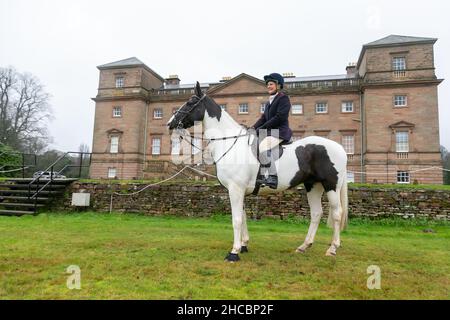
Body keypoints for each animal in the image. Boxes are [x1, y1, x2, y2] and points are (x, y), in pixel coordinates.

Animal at [169, 82, 348, 262]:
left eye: (191, 102)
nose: (170, 123)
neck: (230, 143)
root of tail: (339, 147)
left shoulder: (235, 189)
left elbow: (236, 219)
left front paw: (234, 252)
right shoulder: (238, 190)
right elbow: (243, 217)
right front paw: (243, 245)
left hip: (331, 185)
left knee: (337, 213)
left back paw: (333, 248)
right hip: (313, 186)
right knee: (316, 213)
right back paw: (304, 246)